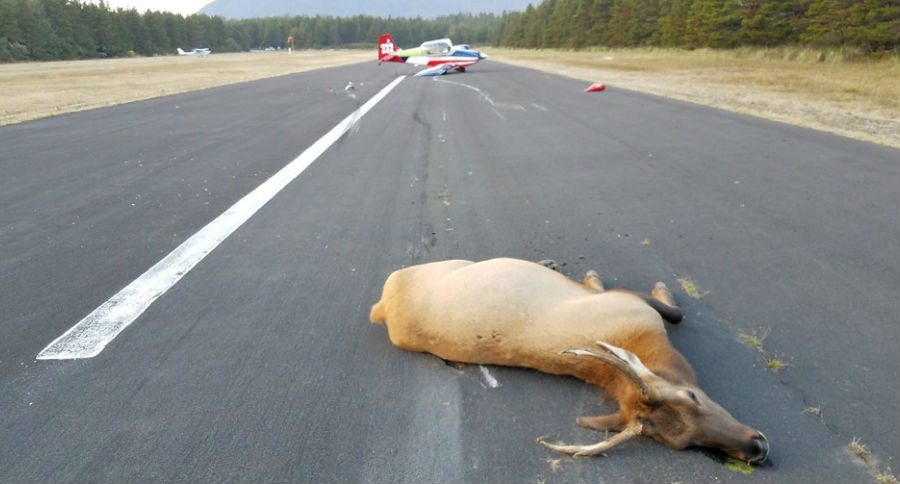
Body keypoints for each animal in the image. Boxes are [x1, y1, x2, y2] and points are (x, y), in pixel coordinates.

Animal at [369, 258, 769, 464]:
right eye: (691, 396)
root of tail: (382, 307)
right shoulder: (625, 298)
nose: (757, 448)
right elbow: (674, 311)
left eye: (686, 444)